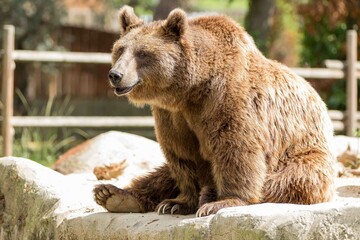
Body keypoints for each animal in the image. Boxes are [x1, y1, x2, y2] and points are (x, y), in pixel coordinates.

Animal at [93, 5, 334, 217]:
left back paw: (210, 193)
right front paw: (178, 203)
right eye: (120, 49)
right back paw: (113, 194)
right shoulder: (172, 115)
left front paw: (223, 200)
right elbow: (182, 155)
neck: (191, 90)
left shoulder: (226, 100)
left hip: (304, 154)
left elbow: (236, 148)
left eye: (142, 53)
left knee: (291, 179)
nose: (115, 75)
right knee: (162, 173)